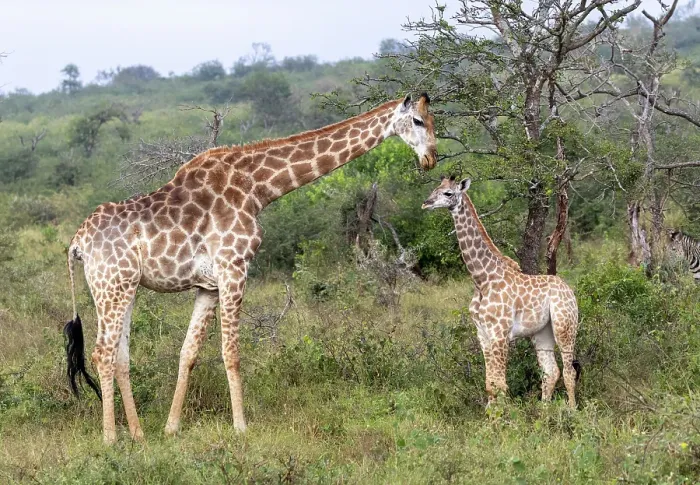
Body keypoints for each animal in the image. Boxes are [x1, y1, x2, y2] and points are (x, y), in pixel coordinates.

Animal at [64, 94, 437, 444]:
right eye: (418, 121)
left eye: (433, 120)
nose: (431, 158)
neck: (257, 187)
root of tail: (78, 242)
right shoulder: (234, 268)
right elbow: (231, 352)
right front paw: (240, 427)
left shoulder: (208, 285)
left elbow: (188, 353)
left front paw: (171, 428)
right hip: (111, 285)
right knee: (101, 353)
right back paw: (111, 438)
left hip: (124, 287)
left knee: (120, 355)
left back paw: (139, 434)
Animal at [421, 176, 580, 407]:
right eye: (435, 189)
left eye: (448, 193)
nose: (426, 203)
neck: (482, 280)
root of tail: (570, 290)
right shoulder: (483, 334)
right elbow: (490, 385)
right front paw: (490, 415)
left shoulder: (500, 334)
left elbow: (501, 386)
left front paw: (504, 417)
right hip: (541, 332)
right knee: (551, 371)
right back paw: (544, 410)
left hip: (565, 326)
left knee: (569, 372)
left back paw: (571, 411)